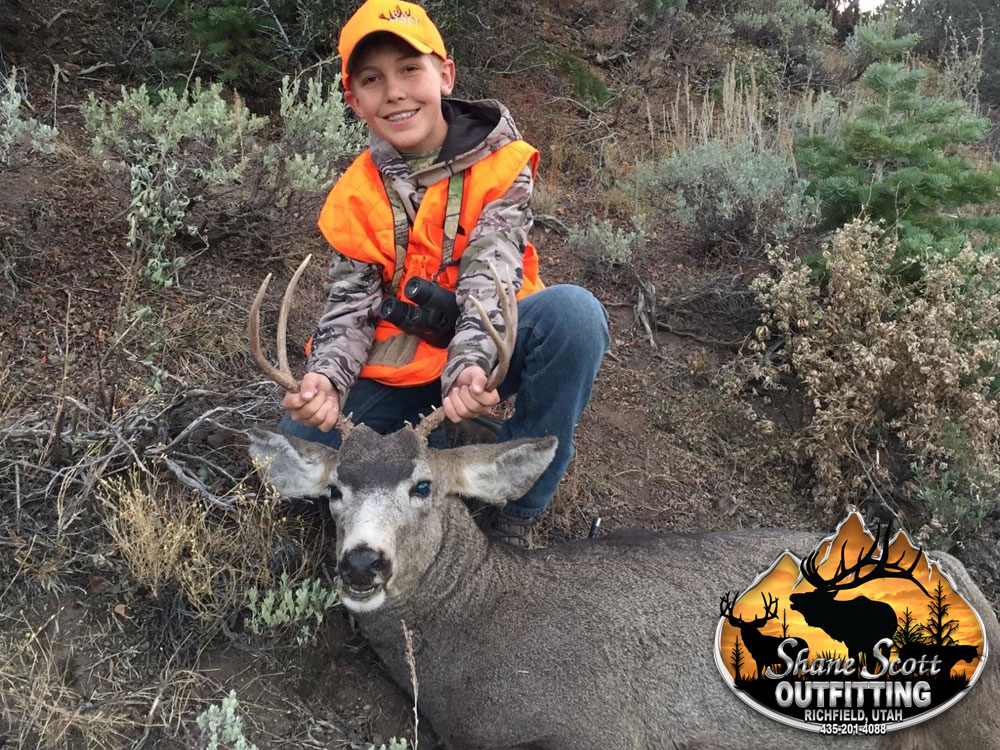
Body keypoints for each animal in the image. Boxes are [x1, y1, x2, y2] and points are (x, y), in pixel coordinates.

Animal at [247, 257, 1000, 750]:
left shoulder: (604, 726)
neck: (480, 625)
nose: (362, 564)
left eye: (424, 485)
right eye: (334, 491)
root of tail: (963, 577)